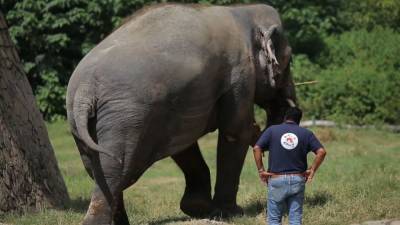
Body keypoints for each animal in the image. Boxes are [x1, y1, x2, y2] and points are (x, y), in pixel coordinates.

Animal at [66, 2, 296, 224]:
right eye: (289, 60)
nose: (292, 109)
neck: (242, 10)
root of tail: (85, 89)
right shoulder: (239, 71)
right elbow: (235, 131)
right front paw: (230, 213)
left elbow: (183, 144)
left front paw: (198, 208)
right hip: (125, 117)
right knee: (115, 169)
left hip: (82, 124)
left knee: (96, 169)